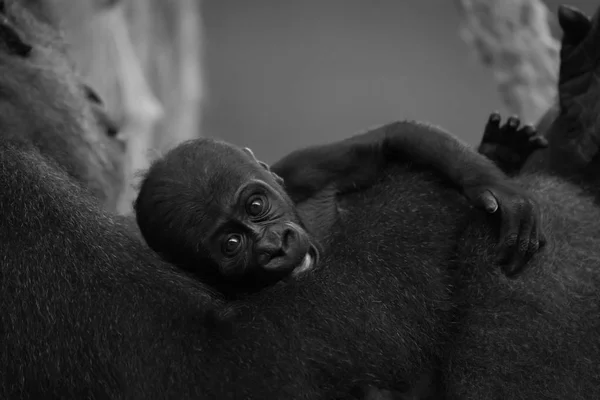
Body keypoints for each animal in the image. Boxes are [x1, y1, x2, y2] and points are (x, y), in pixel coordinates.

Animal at [135, 120, 544, 298]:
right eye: (232, 244)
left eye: (256, 205)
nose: (274, 245)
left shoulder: (301, 169)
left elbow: (387, 140)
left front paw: (496, 190)